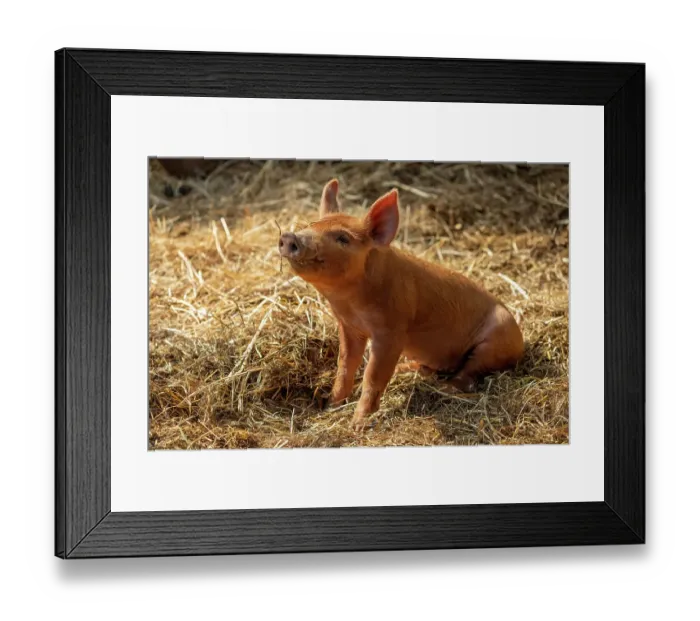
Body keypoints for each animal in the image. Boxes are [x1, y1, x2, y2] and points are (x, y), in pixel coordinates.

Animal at [279, 179, 524, 430]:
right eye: (312, 224)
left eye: (343, 238)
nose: (290, 237)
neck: (351, 304)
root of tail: (521, 342)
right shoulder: (348, 327)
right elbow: (345, 365)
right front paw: (330, 405)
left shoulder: (392, 331)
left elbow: (373, 375)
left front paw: (357, 425)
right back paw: (405, 369)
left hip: (494, 342)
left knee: (468, 374)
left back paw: (443, 388)